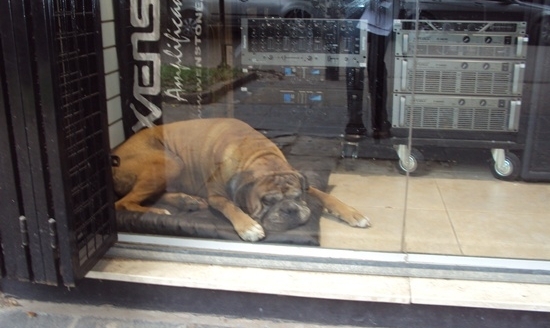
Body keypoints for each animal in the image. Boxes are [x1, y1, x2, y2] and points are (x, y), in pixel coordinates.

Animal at [111, 118, 370, 241]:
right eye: (266, 202)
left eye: (297, 198)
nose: (290, 210)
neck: (256, 153)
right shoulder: (217, 196)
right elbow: (231, 206)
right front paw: (248, 226)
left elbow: (323, 193)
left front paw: (351, 213)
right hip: (171, 162)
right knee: (122, 203)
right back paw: (157, 212)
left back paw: (187, 201)